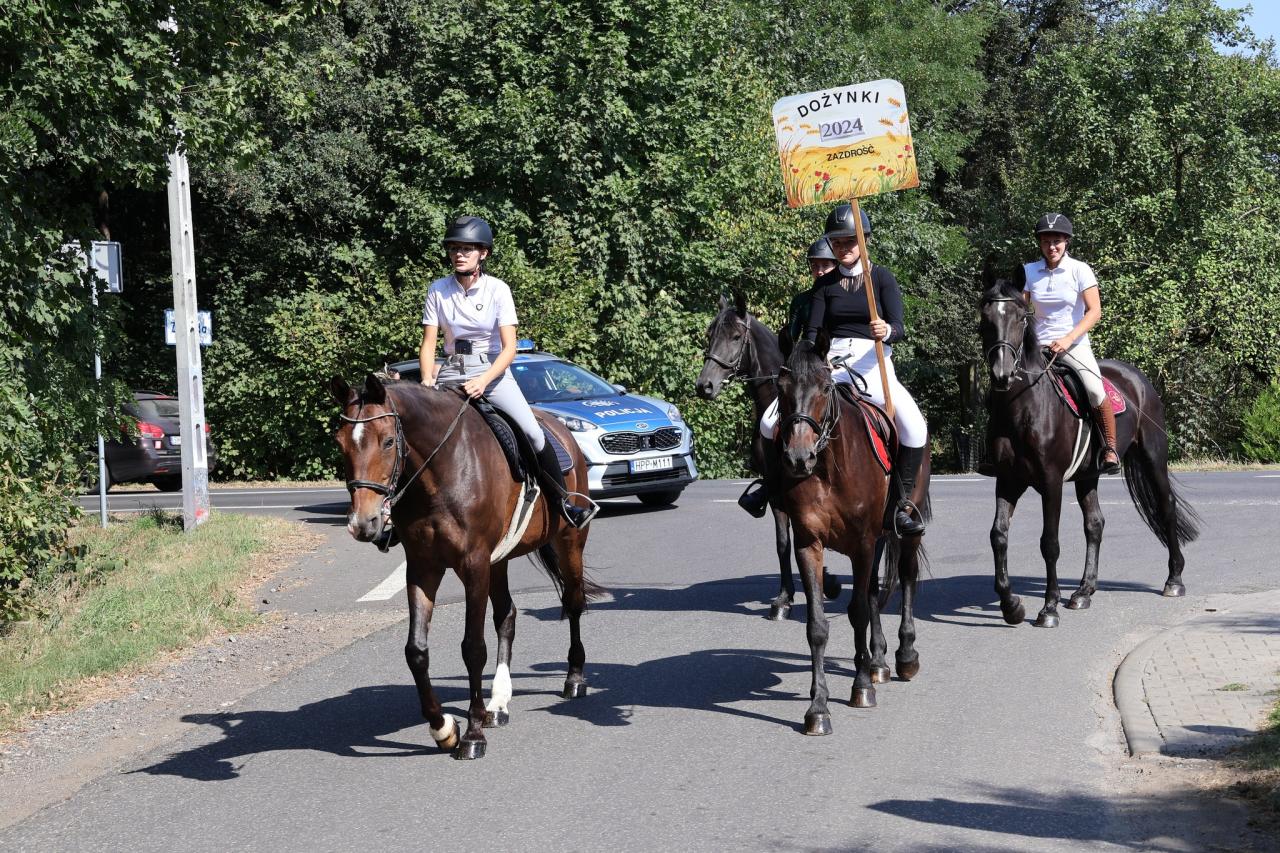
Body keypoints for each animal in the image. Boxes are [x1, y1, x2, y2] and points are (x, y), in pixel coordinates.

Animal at [328, 373, 602, 760]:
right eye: (340, 444)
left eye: (388, 441)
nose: (363, 523)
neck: (442, 471)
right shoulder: (424, 567)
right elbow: (416, 651)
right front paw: (443, 729)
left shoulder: (473, 565)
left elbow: (473, 648)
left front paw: (472, 734)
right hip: (499, 561)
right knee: (507, 616)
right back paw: (498, 703)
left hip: (570, 541)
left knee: (573, 603)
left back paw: (574, 679)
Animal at [695, 292, 841, 619]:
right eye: (710, 336)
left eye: (736, 337)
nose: (704, 386)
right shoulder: (775, 489)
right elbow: (783, 542)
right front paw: (784, 598)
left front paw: (827, 581)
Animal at [773, 333, 929, 735]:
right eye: (781, 388)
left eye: (825, 388)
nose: (798, 458)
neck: (830, 467)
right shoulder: (810, 545)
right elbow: (817, 625)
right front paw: (818, 708)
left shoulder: (862, 544)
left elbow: (857, 611)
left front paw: (860, 689)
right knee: (874, 591)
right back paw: (877, 663)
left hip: (905, 529)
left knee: (906, 577)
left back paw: (905, 656)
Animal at [978, 278, 1200, 628]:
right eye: (985, 320)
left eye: (1020, 319)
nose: (1002, 374)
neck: (1023, 407)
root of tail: (1137, 377)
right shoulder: (1008, 480)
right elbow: (998, 535)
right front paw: (1011, 605)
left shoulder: (1051, 483)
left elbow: (1049, 543)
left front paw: (1048, 609)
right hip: (1087, 475)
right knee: (1095, 524)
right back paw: (1083, 592)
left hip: (1153, 458)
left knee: (1166, 507)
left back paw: (1174, 580)